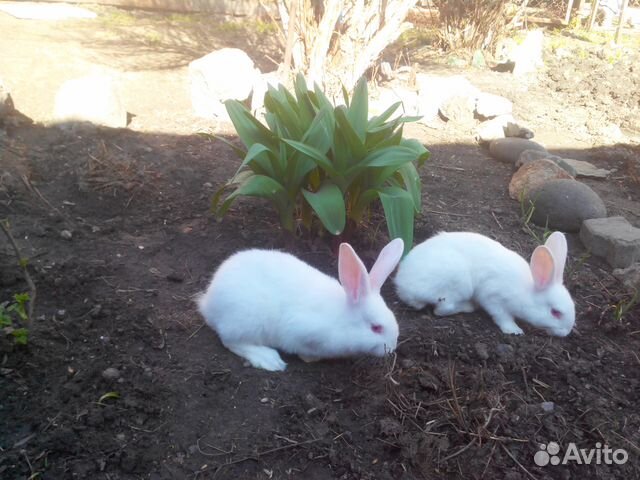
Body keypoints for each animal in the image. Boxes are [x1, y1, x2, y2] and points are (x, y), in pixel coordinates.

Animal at [198, 239, 402, 372]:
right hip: (247, 320)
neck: (341, 317)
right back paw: (269, 360)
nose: (392, 348)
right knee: (231, 341)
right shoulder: (301, 330)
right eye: (376, 328)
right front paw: (310, 358)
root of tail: (208, 302)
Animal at [392, 232, 576, 338]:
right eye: (555, 312)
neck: (526, 291)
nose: (566, 332)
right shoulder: (494, 298)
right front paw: (514, 330)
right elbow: (502, 316)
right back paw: (468, 307)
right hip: (458, 284)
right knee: (442, 309)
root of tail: (403, 286)